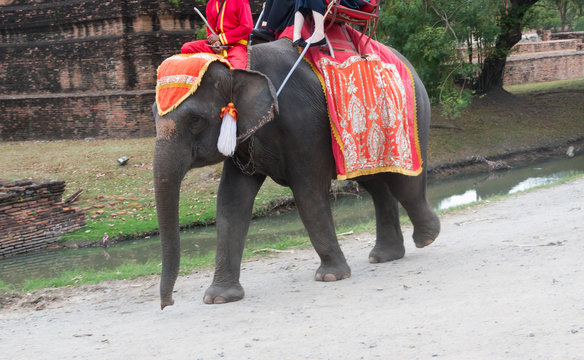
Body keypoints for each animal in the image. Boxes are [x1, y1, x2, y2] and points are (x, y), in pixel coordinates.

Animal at [153, 38, 440, 310]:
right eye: (153, 115)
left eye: (195, 120)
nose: (167, 304)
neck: (242, 63)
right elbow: (230, 203)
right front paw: (219, 298)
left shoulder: (304, 124)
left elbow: (308, 194)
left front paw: (331, 276)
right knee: (375, 183)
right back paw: (385, 255)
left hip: (410, 115)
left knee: (403, 181)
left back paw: (426, 237)